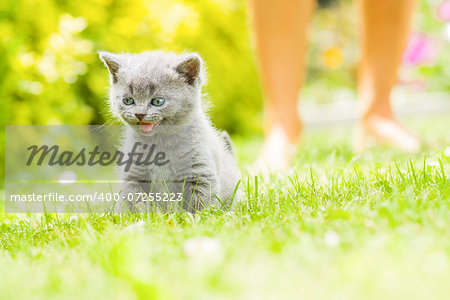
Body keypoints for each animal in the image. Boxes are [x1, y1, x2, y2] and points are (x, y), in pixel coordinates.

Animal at [98, 50, 239, 212]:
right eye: (128, 101)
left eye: (158, 101)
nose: (139, 114)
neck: (160, 142)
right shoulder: (133, 174)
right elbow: (134, 202)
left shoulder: (200, 172)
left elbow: (201, 204)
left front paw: (199, 216)